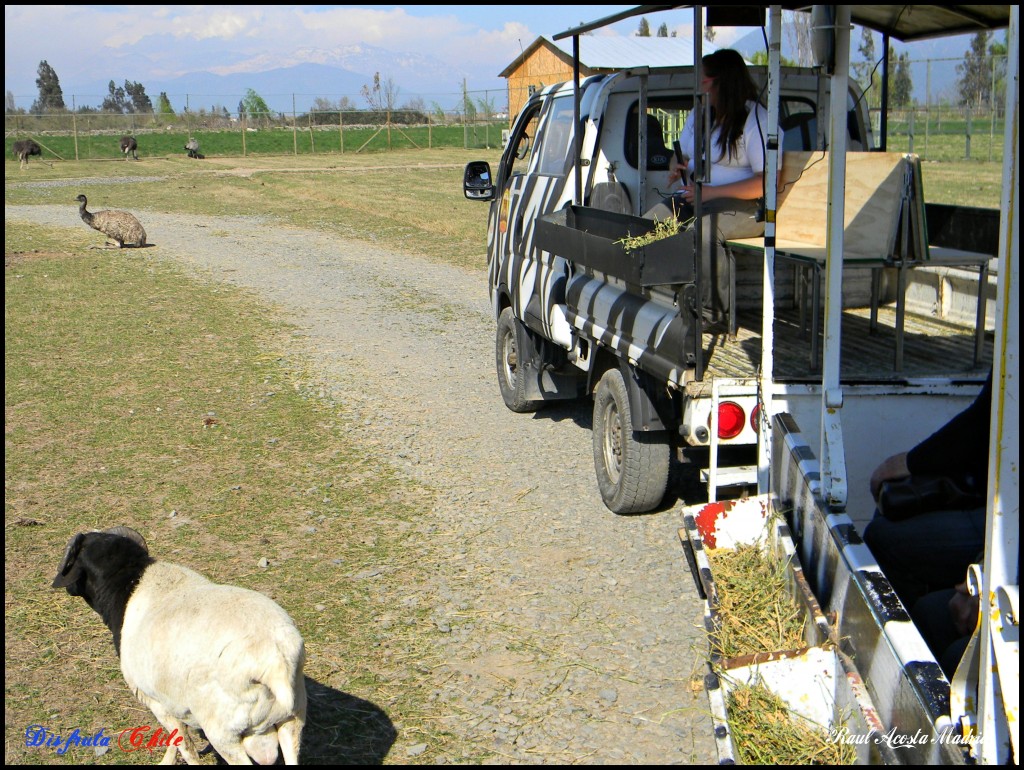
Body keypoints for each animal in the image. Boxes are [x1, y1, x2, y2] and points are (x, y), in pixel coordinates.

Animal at [51, 524, 305, 765]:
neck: (130, 585)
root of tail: (274, 661)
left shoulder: (156, 702)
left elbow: (184, 745)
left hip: (224, 732)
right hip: (292, 719)